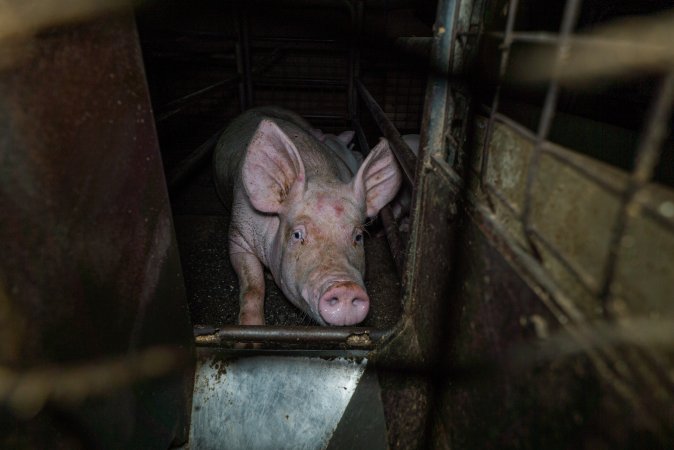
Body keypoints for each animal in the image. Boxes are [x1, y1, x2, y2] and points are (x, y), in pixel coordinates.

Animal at [211, 109, 400, 326]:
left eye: (358, 237)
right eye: (297, 235)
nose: (345, 288)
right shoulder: (239, 233)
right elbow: (253, 284)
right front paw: (251, 329)